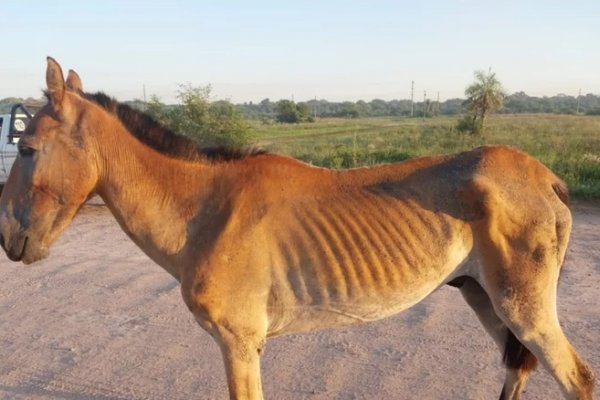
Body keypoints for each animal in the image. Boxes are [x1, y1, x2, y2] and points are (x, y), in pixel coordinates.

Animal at [0, 57, 592, 400]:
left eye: (26, 148)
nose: (9, 238)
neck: (205, 212)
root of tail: (544, 176)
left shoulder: (238, 345)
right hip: (485, 298)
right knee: (518, 371)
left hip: (522, 308)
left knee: (576, 379)